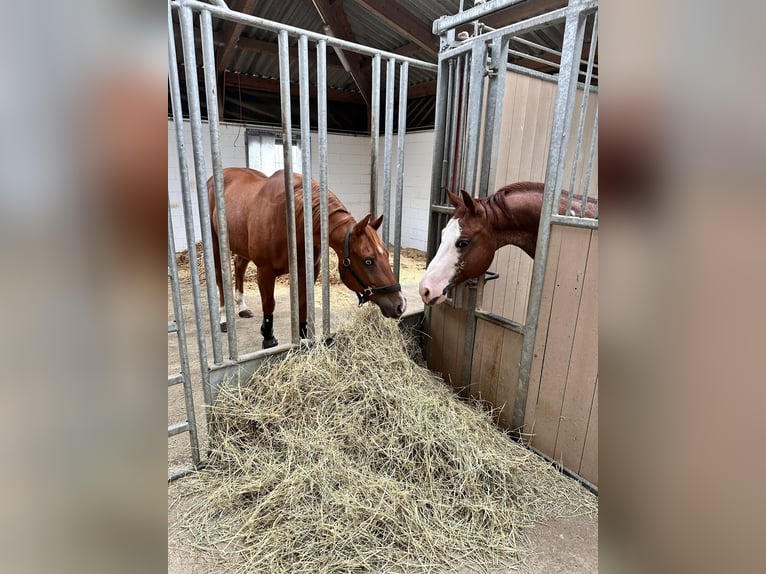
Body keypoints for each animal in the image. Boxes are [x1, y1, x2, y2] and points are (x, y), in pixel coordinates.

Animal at [204, 169, 408, 348]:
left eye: (386, 254)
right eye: (368, 260)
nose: (401, 305)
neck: (290, 219)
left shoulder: (307, 270)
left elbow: (303, 302)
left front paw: (303, 336)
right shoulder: (264, 271)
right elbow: (269, 303)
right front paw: (268, 337)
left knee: (239, 266)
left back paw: (242, 307)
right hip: (216, 244)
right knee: (220, 279)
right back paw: (223, 319)